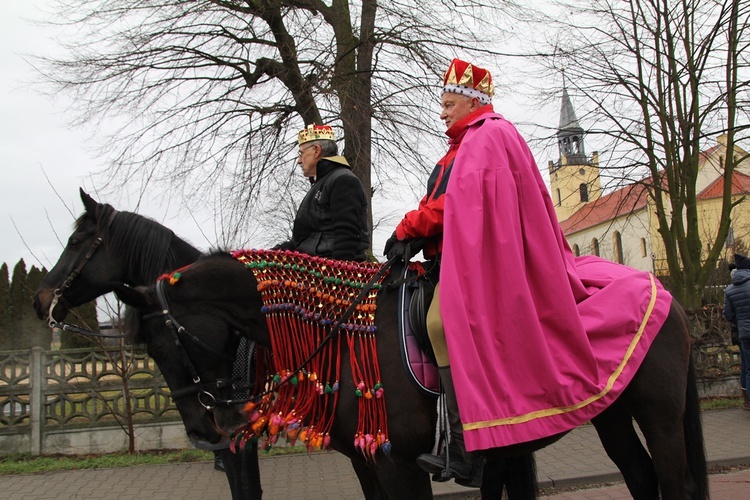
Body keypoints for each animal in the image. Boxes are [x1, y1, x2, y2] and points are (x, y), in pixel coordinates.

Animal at [116, 254, 712, 500]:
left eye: (165, 345)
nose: (206, 431)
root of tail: (666, 293)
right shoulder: (371, 461)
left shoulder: (400, 464)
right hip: (613, 415)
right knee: (642, 479)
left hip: (659, 415)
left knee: (675, 484)